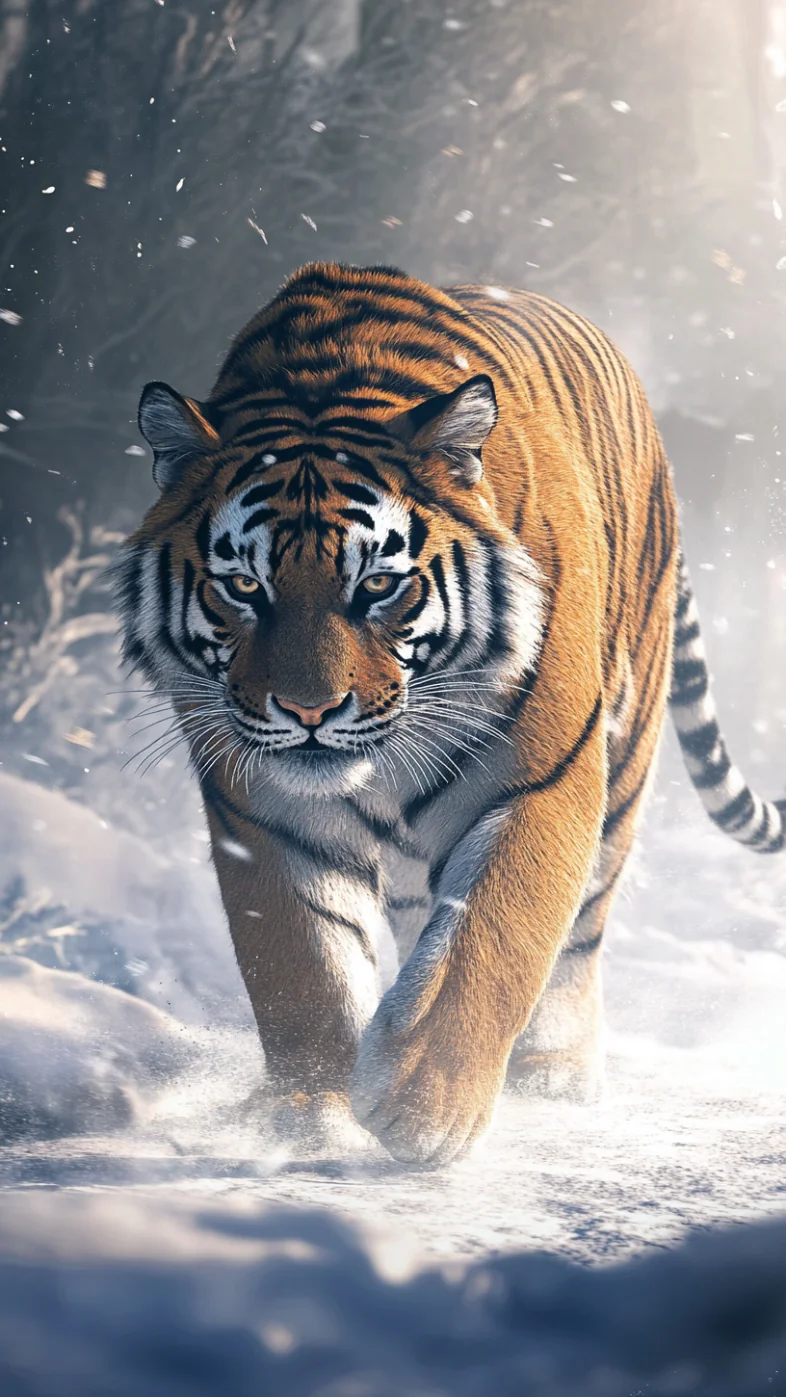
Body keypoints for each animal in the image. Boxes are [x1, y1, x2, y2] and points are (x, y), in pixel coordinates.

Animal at [114, 261, 786, 1166]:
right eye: (244, 586)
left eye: (377, 585)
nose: (309, 708)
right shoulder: (260, 809)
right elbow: (301, 960)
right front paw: (311, 1110)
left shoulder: (543, 781)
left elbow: (494, 929)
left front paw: (423, 1104)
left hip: (626, 751)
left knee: (582, 928)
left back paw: (553, 1074)